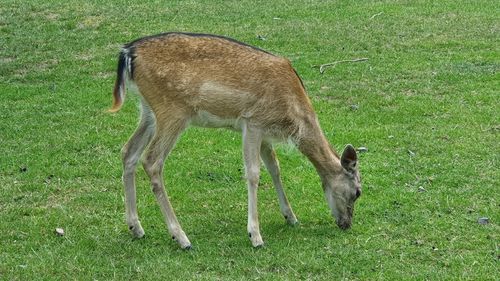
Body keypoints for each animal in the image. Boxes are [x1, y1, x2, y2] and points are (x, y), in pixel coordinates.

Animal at [109, 31, 362, 248]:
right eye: (358, 192)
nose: (346, 224)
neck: (293, 117)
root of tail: (128, 52)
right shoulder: (253, 122)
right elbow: (253, 173)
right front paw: (255, 236)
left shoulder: (264, 133)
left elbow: (275, 167)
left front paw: (291, 217)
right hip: (172, 111)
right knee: (151, 161)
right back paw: (181, 238)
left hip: (148, 111)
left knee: (128, 152)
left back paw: (136, 228)